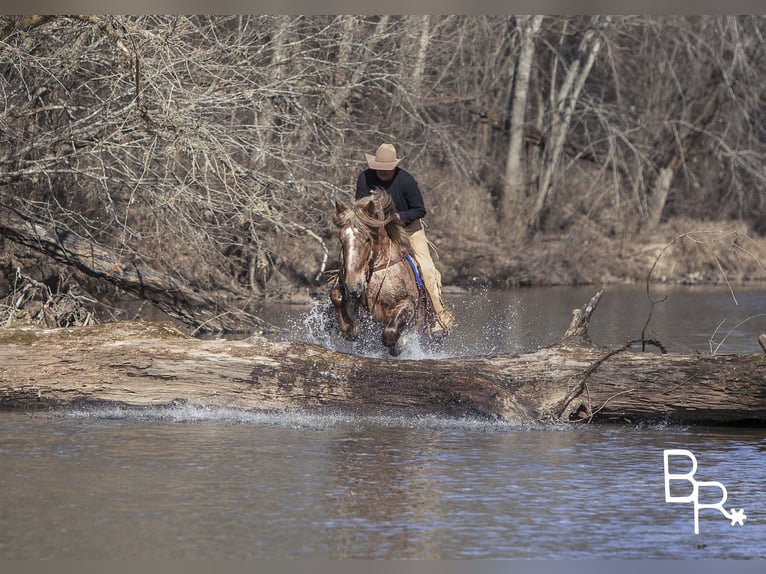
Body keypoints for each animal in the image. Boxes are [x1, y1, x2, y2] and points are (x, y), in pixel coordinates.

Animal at [330, 191, 438, 358]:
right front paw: (350, 329)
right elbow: (336, 295)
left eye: (367, 239)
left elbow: (390, 333)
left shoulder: (408, 302)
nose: (354, 285)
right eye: (342, 240)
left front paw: (399, 344)